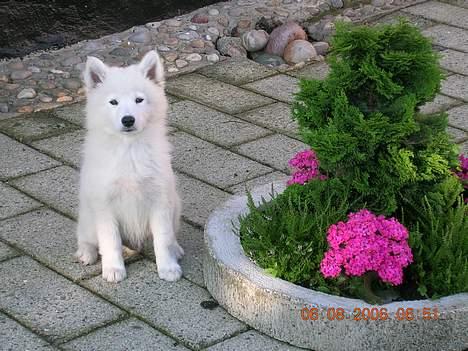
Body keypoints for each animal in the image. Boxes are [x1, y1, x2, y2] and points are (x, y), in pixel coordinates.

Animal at [76, 51, 184, 284]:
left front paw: (168, 267)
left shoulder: (160, 200)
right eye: (113, 102)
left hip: (176, 207)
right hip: (87, 217)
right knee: (86, 238)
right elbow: (110, 241)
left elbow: (162, 239)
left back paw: (176, 249)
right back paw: (86, 254)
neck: (129, 148)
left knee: (170, 236)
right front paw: (113, 269)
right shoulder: (104, 205)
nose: (128, 120)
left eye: (139, 100)